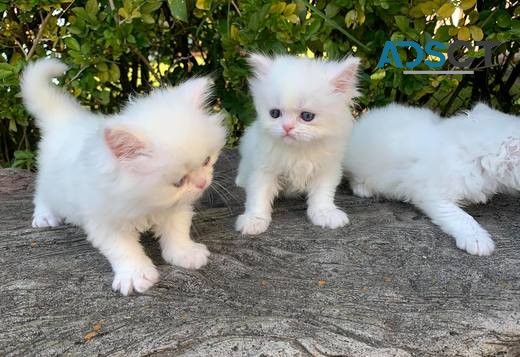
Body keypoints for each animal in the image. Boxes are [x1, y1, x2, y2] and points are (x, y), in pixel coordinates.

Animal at [22, 58, 226, 294]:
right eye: (179, 181)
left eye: (206, 161)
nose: (202, 183)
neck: (144, 202)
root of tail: (66, 119)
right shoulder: (105, 220)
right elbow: (123, 249)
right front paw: (135, 275)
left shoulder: (175, 207)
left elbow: (177, 230)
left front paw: (185, 253)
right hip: (52, 182)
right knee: (42, 193)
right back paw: (45, 216)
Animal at [237, 52, 362, 234]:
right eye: (275, 113)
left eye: (307, 116)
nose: (287, 127)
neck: (299, 150)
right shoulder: (264, 169)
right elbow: (258, 195)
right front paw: (254, 220)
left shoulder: (327, 169)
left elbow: (322, 194)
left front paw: (325, 214)